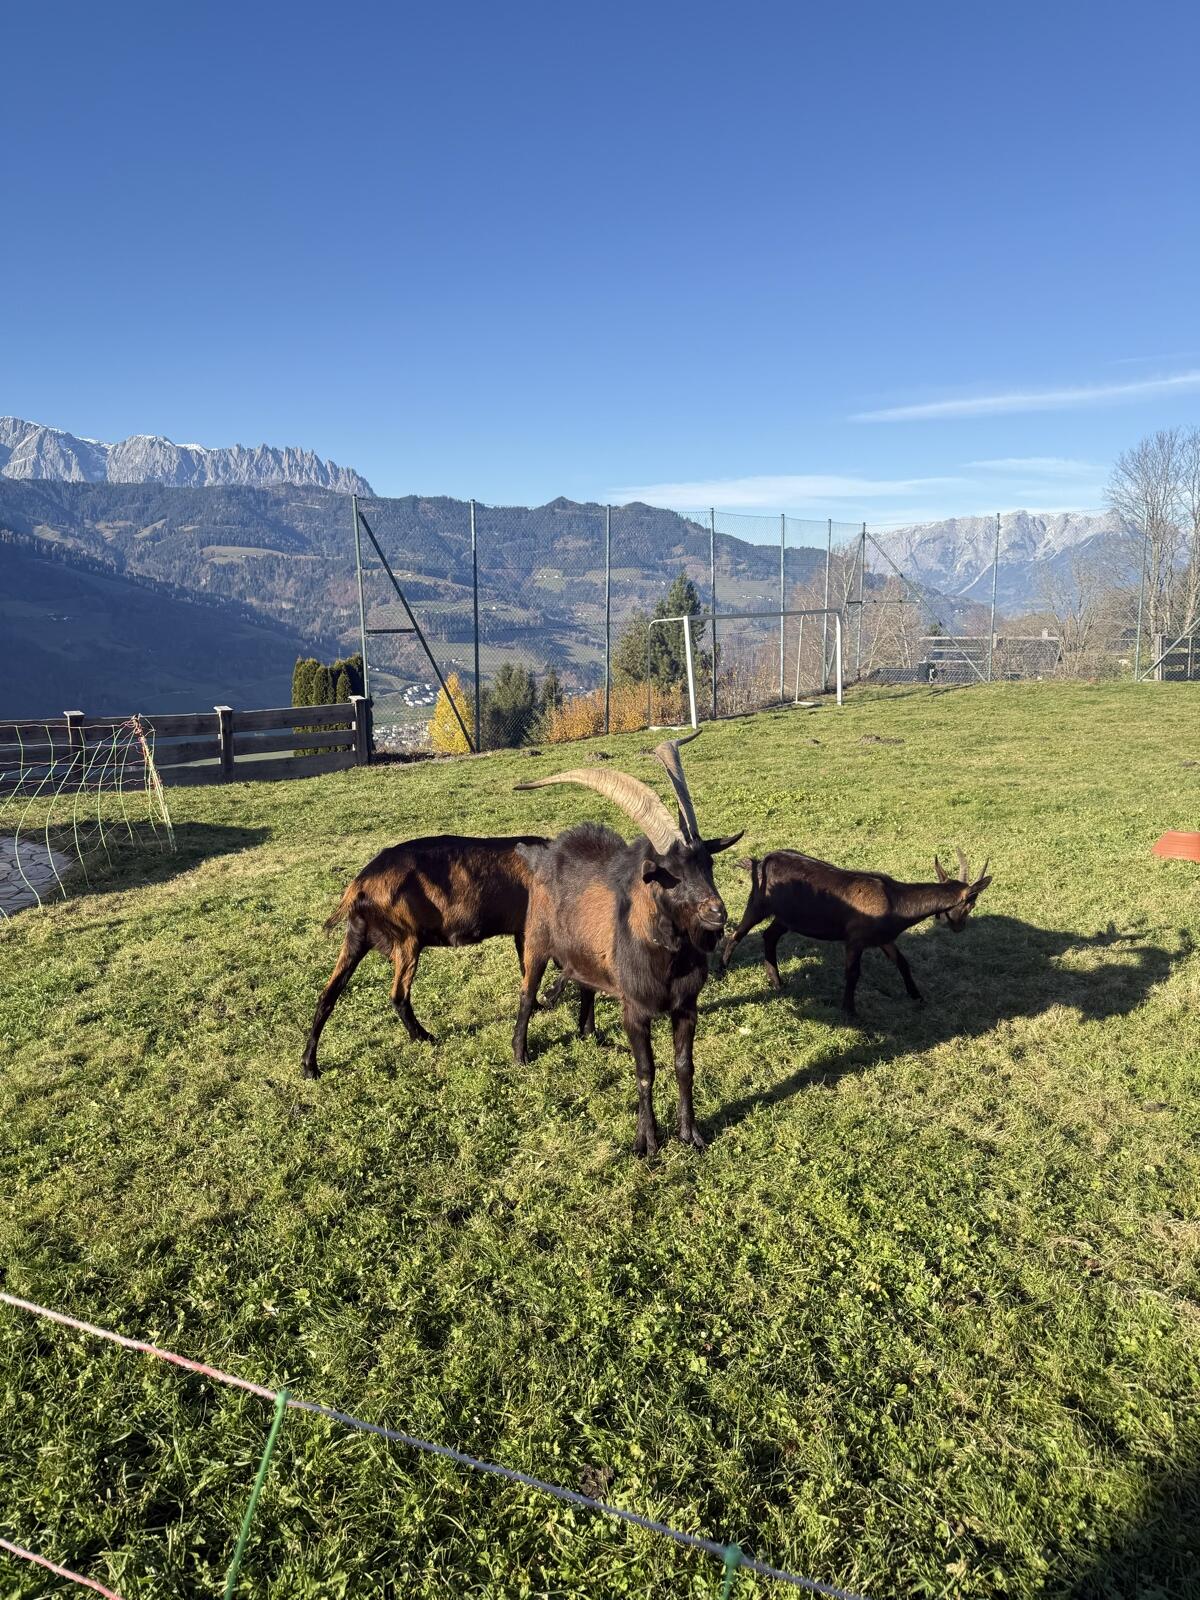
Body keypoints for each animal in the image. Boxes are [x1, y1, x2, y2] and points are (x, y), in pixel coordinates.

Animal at [301, 834, 561, 1078]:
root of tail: (360, 884)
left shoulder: (523, 932)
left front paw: (540, 1004)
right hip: (407, 940)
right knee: (398, 995)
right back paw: (423, 1036)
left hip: (356, 938)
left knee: (327, 996)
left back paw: (309, 1065)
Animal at [512, 733, 742, 1156]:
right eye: (668, 875)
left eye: (709, 863)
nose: (716, 913)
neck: (666, 959)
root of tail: (548, 854)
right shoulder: (635, 1011)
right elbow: (645, 1070)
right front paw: (647, 1141)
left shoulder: (686, 1007)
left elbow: (684, 1066)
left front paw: (690, 1134)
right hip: (536, 941)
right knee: (527, 994)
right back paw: (520, 1055)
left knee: (585, 986)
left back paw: (589, 1034)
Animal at [721, 846, 992, 1016]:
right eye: (971, 903)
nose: (959, 927)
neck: (894, 901)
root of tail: (758, 862)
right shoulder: (854, 940)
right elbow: (852, 973)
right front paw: (849, 1010)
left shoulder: (883, 938)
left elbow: (902, 963)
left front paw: (917, 996)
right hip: (758, 904)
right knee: (737, 934)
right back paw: (722, 969)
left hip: (787, 917)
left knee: (769, 936)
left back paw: (776, 982)